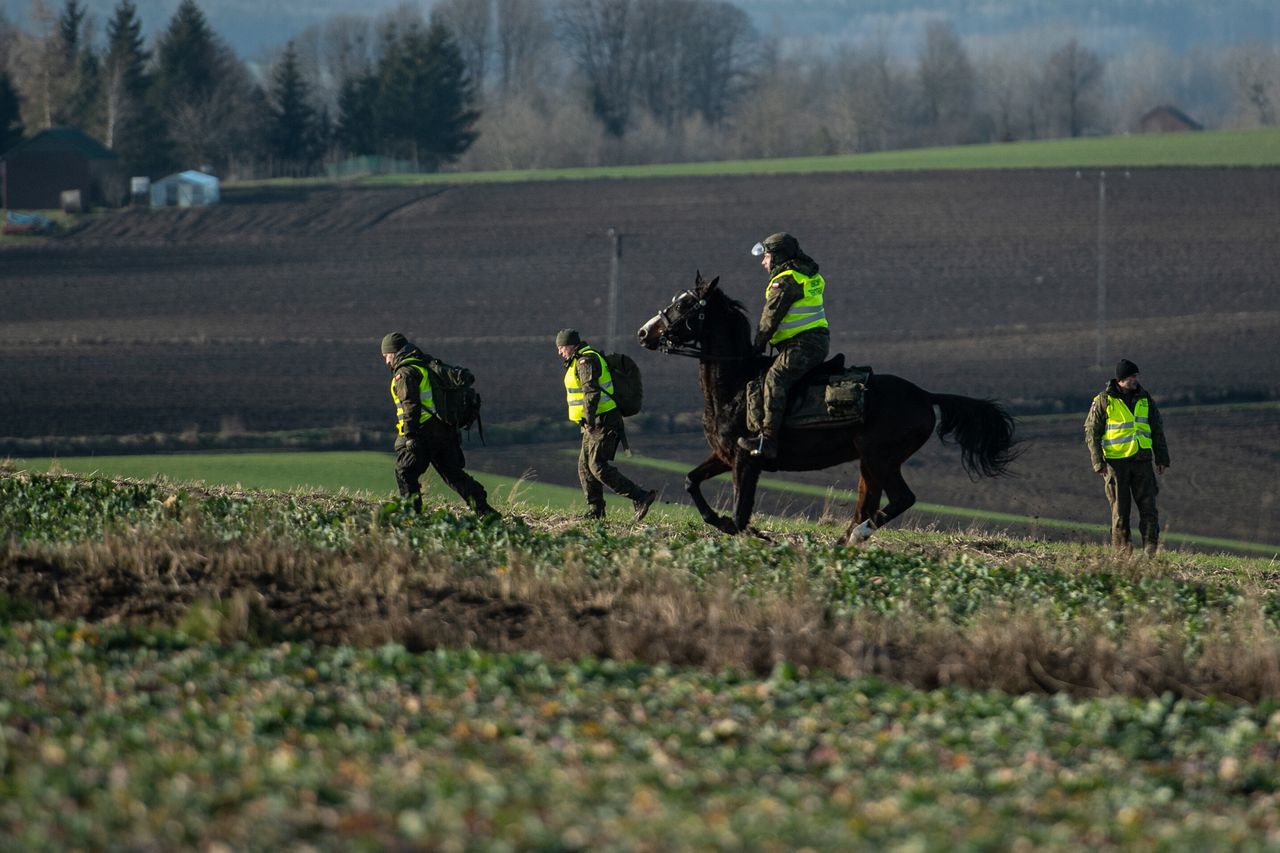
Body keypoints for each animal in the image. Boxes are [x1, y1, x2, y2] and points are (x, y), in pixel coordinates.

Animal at [632, 274, 1018, 545]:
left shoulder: (746, 460)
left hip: (881, 458)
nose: (644, 333)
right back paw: (843, 542)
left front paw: (747, 532)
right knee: (869, 501)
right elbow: (690, 481)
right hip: (869, 462)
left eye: (685, 305)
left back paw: (856, 536)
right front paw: (722, 522)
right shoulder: (724, 455)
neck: (735, 384)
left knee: (901, 498)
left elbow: (741, 513)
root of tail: (924, 394)